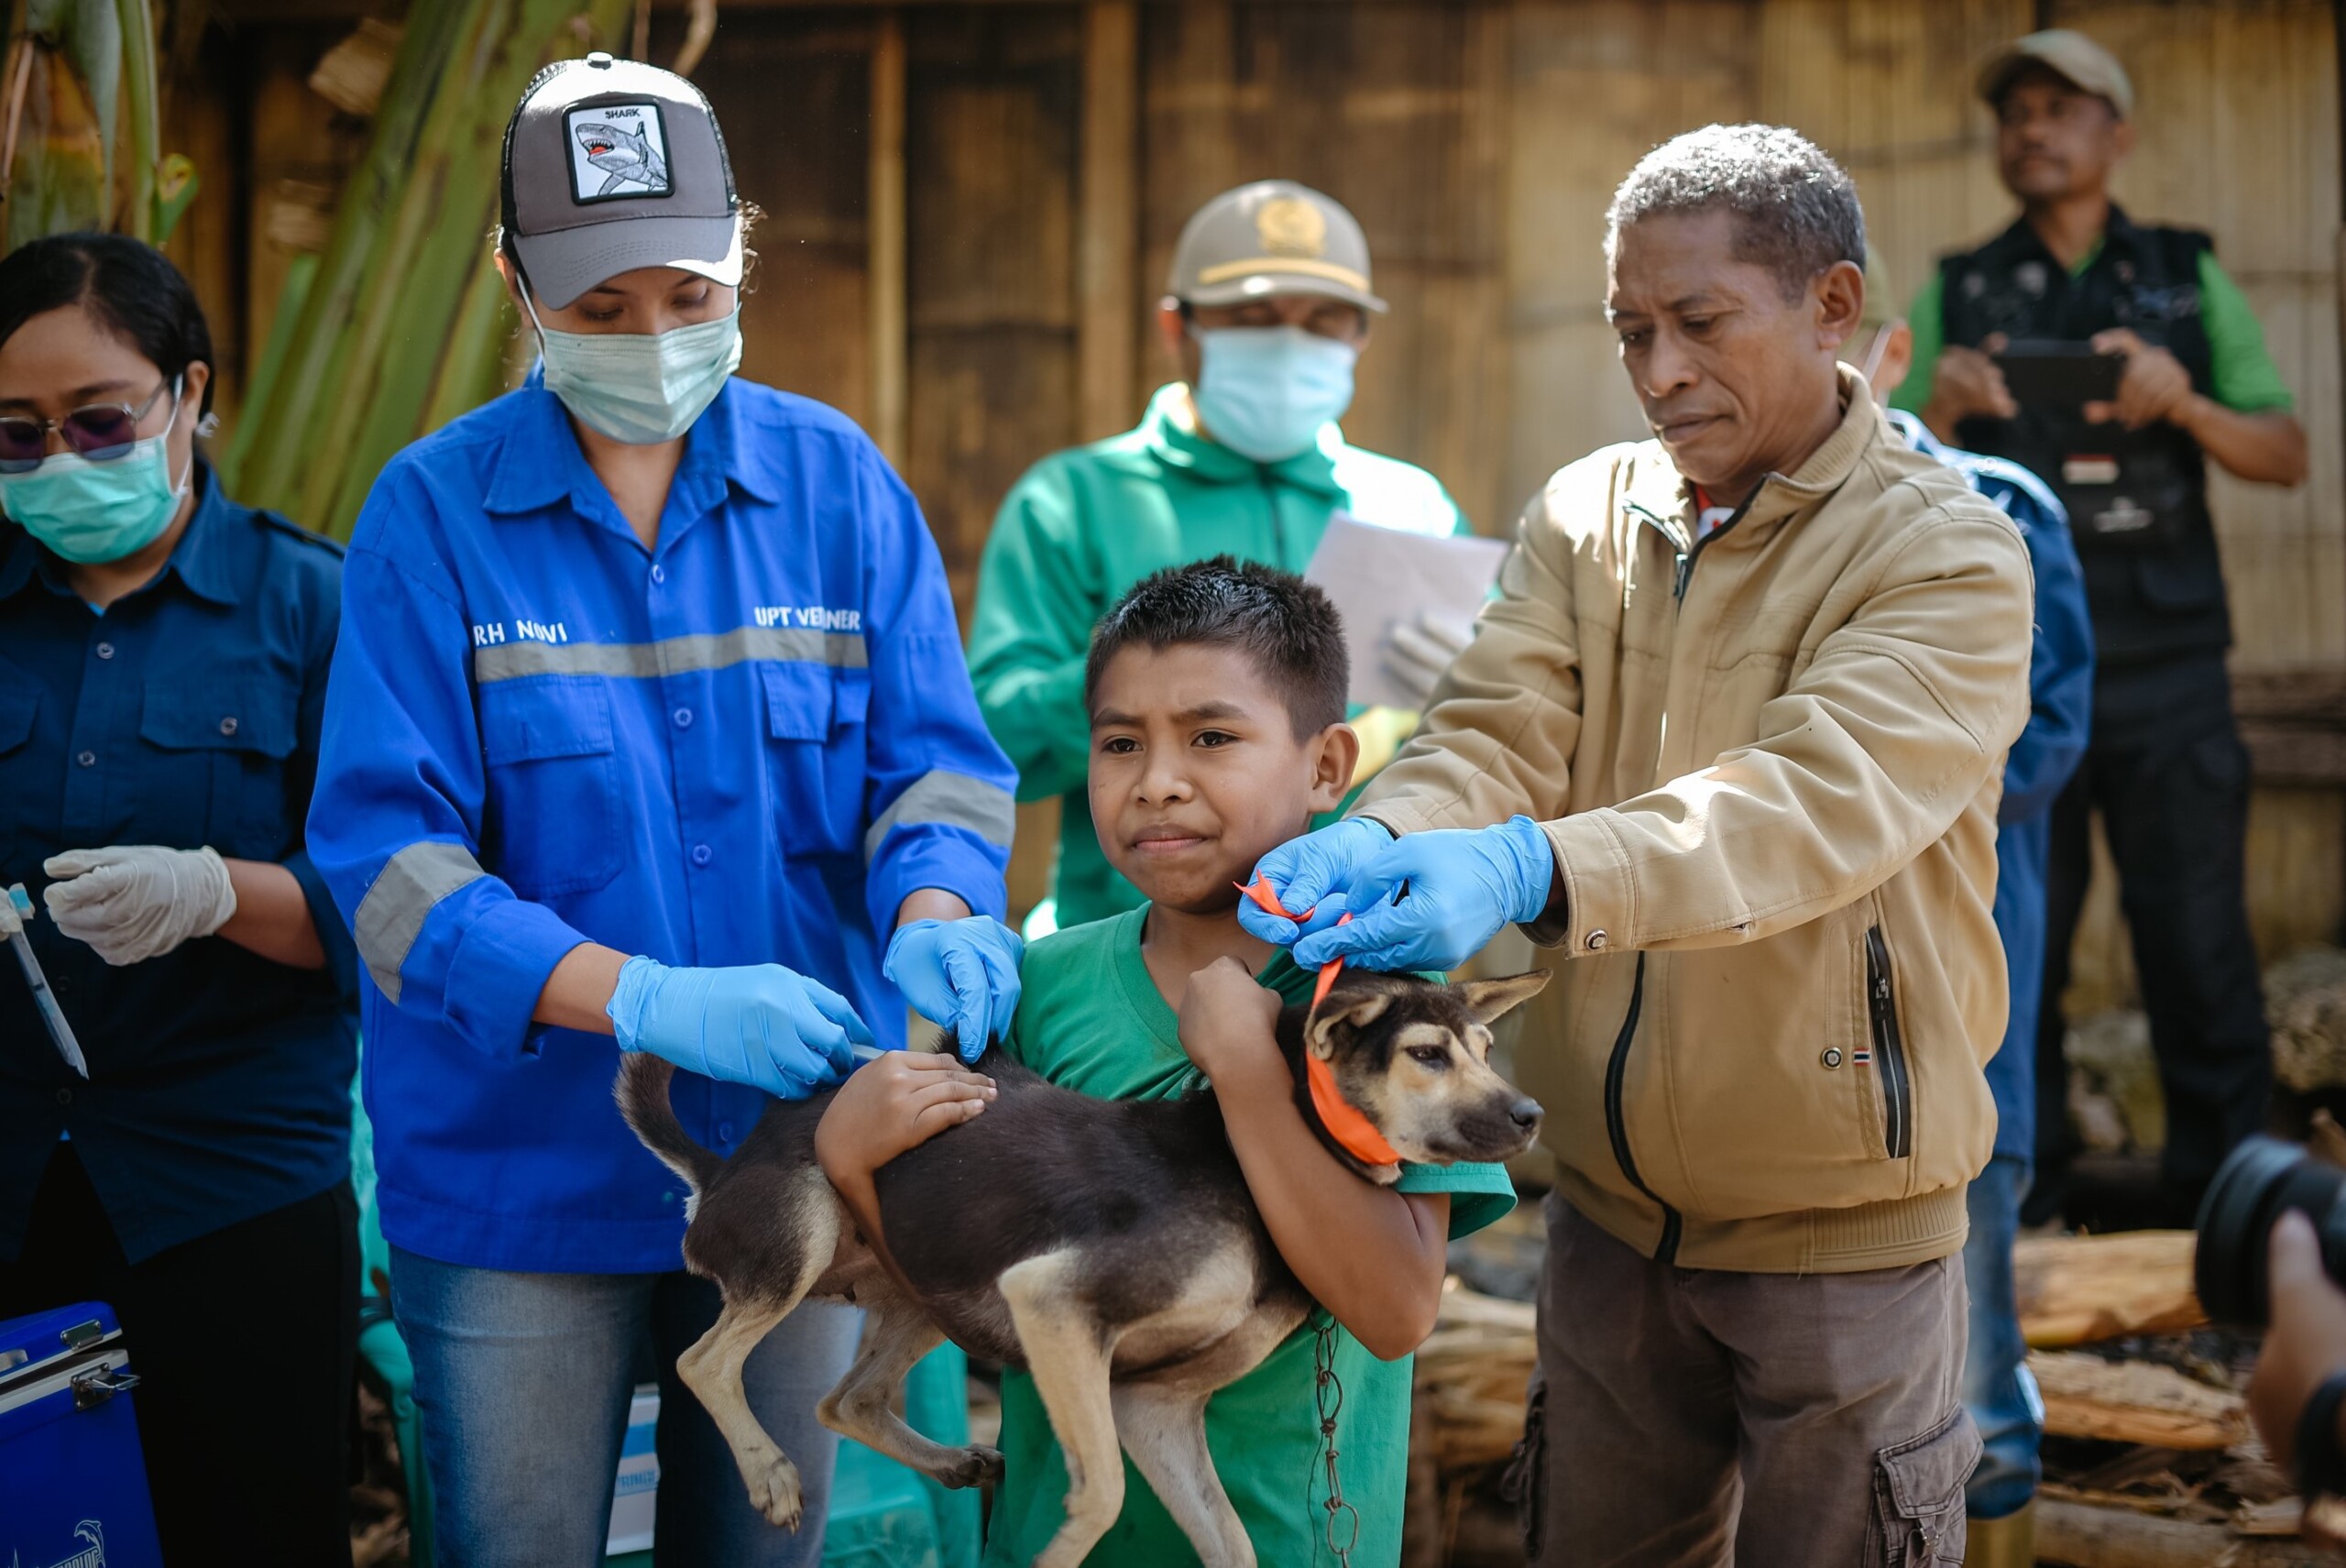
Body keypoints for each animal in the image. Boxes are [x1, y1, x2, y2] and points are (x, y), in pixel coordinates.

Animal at [614, 967, 1548, 1568]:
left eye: (1486, 1046)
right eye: (1427, 1054)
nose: (1532, 1112)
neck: (1255, 1155)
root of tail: (719, 1169)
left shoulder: (1149, 1401)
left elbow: (1230, 1540)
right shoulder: (1055, 1299)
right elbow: (1100, 1493)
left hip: (929, 1289)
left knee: (845, 1398)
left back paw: (949, 1461)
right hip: (803, 1232)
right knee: (705, 1361)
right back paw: (770, 1473)